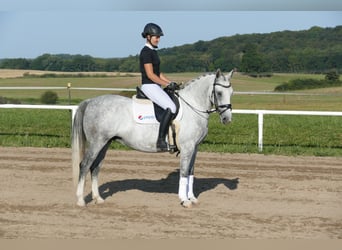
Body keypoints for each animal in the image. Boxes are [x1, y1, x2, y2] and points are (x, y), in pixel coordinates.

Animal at [71, 68, 232, 207]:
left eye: (231, 92)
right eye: (219, 93)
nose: (227, 119)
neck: (192, 107)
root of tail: (90, 101)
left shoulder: (195, 147)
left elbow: (191, 172)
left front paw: (192, 198)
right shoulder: (187, 148)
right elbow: (184, 172)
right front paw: (184, 200)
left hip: (105, 143)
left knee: (95, 167)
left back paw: (98, 198)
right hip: (96, 143)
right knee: (84, 165)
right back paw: (80, 200)